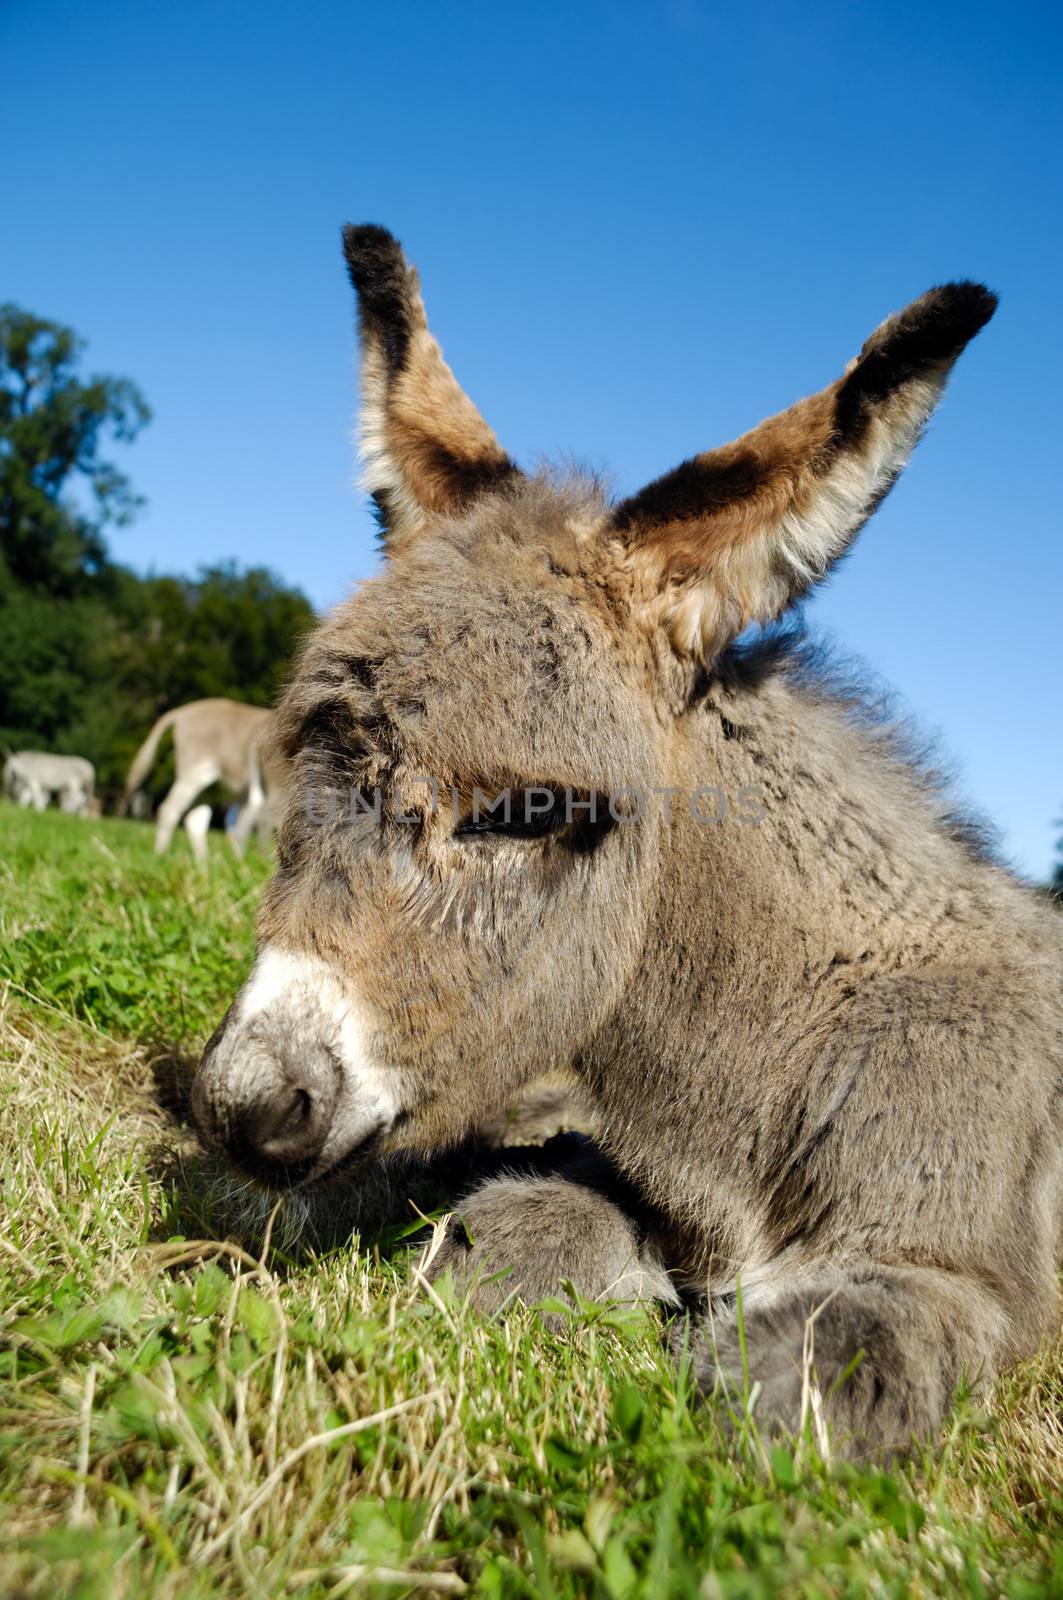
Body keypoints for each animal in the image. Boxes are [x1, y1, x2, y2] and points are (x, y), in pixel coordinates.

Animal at [192, 228, 1063, 1465]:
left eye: (524, 814)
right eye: (311, 762)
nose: (241, 1105)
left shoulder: (953, 1276)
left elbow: (785, 1383)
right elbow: (500, 1242)